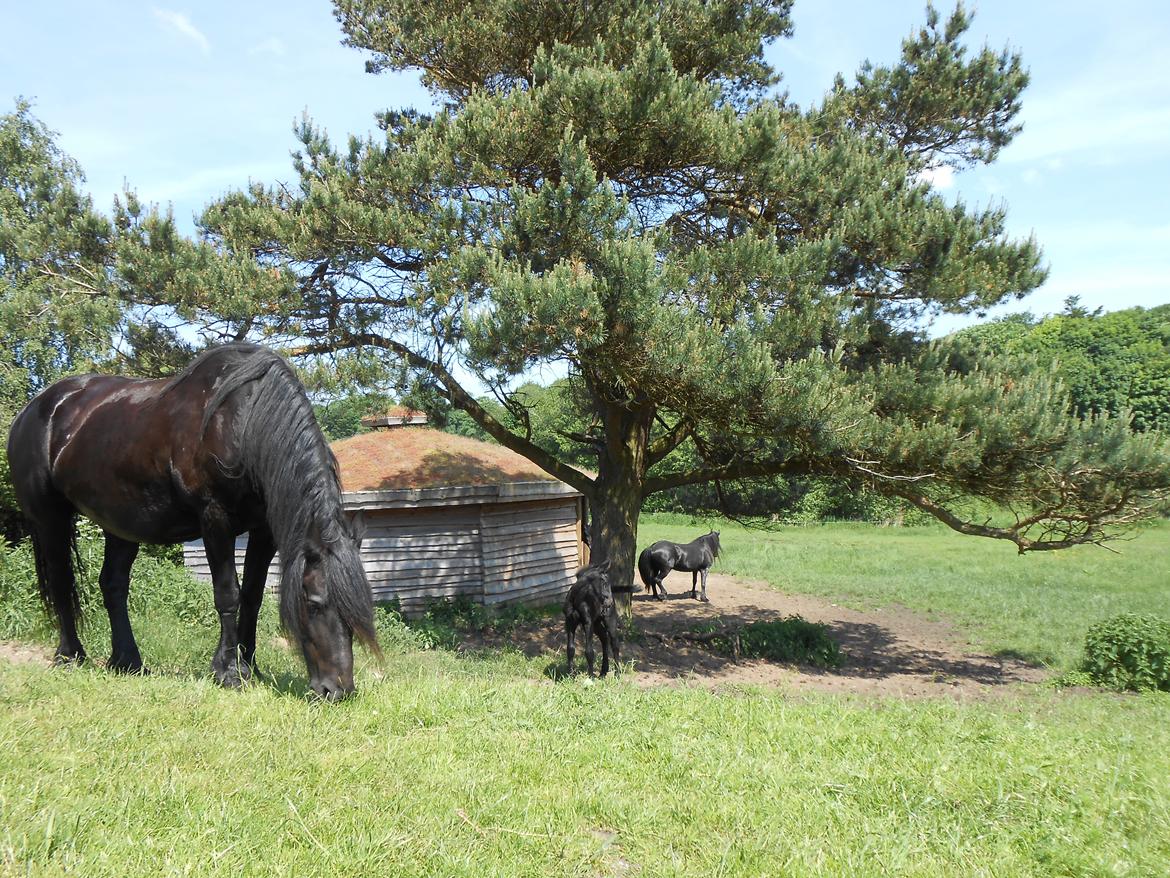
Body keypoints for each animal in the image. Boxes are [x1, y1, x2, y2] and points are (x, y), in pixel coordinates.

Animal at [5, 344, 379, 702]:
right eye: (314, 604)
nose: (338, 690)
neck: (242, 424)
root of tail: (35, 408)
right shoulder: (215, 519)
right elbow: (228, 594)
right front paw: (228, 672)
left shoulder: (263, 530)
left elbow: (253, 596)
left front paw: (250, 667)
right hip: (50, 519)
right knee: (61, 583)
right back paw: (70, 656)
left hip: (120, 525)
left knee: (113, 586)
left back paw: (128, 661)